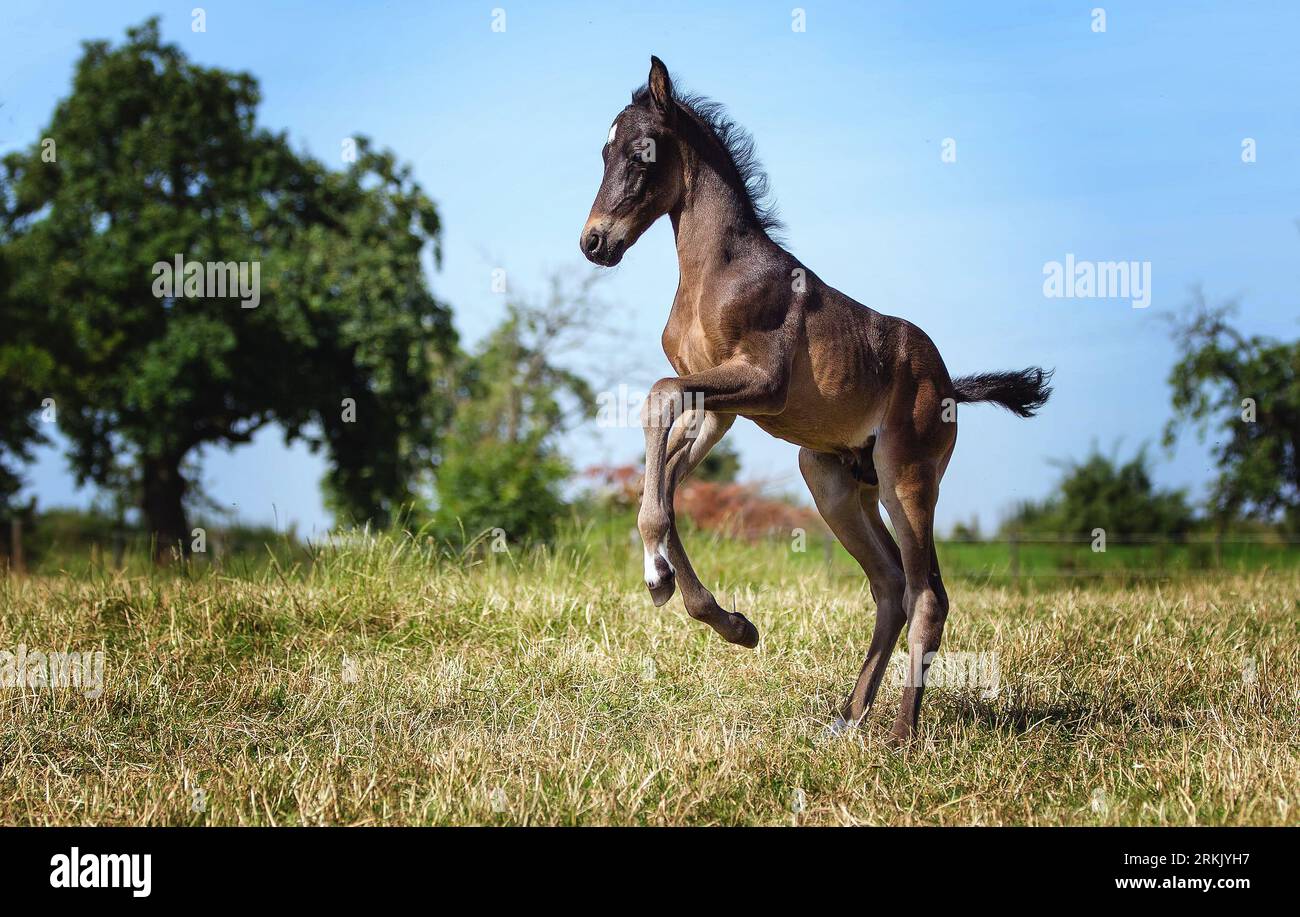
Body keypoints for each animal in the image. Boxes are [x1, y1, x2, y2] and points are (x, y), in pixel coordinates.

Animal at [580, 57, 1052, 743]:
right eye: (603, 152)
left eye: (642, 153)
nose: (593, 243)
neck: (714, 272)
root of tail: (947, 382)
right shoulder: (721, 408)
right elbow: (665, 477)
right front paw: (712, 611)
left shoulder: (759, 384)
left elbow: (656, 401)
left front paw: (664, 579)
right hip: (831, 479)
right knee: (890, 585)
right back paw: (850, 718)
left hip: (906, 478)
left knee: (927, 593)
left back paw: (902, 736)